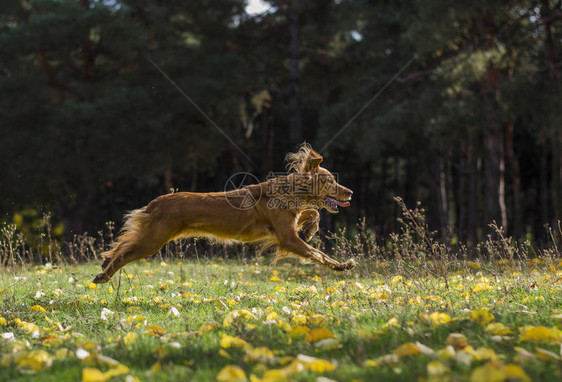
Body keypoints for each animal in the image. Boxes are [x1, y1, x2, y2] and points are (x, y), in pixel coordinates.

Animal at [92, 143, 354, 284]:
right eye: (330, 181)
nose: (350, 192)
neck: (288, 192)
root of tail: (154, 203)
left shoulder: (290, 227)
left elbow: (312, 214)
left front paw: (309, 230)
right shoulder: (287, 238)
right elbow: (318, 254)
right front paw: (342, 266)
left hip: (152, 237)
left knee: (122, 247)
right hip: (153, 240)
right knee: (123, 253)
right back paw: (103, 275)